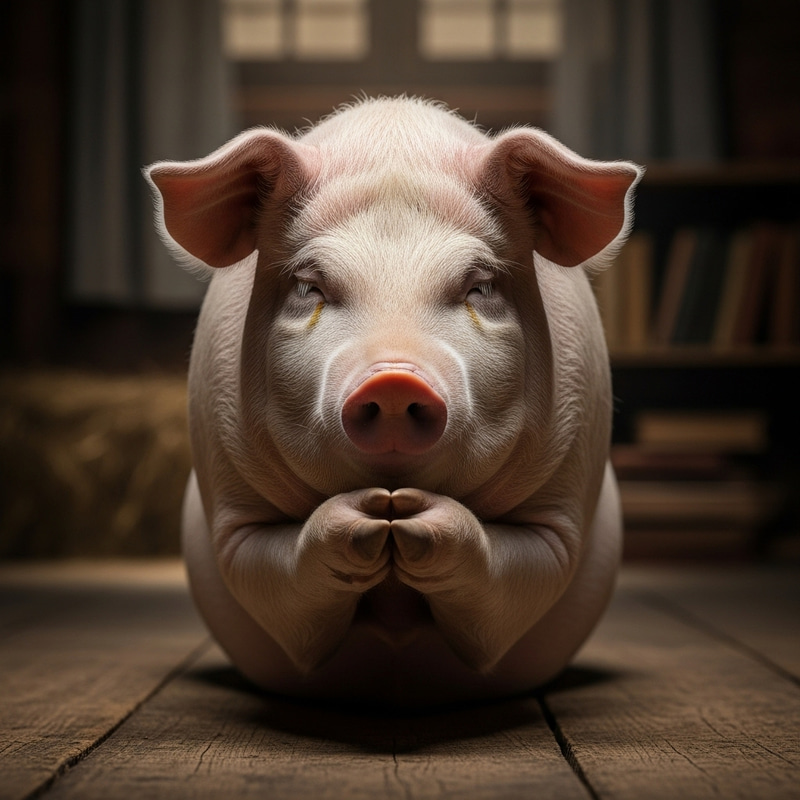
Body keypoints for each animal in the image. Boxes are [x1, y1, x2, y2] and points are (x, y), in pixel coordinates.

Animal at [145, 96, 642, 707]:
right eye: (309, 286)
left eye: (480, 286)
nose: (394, 380)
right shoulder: (230, 500)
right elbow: (265, 575)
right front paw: (370, 517)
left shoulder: (564, 499)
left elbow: (526, 578)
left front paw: (408, 518)